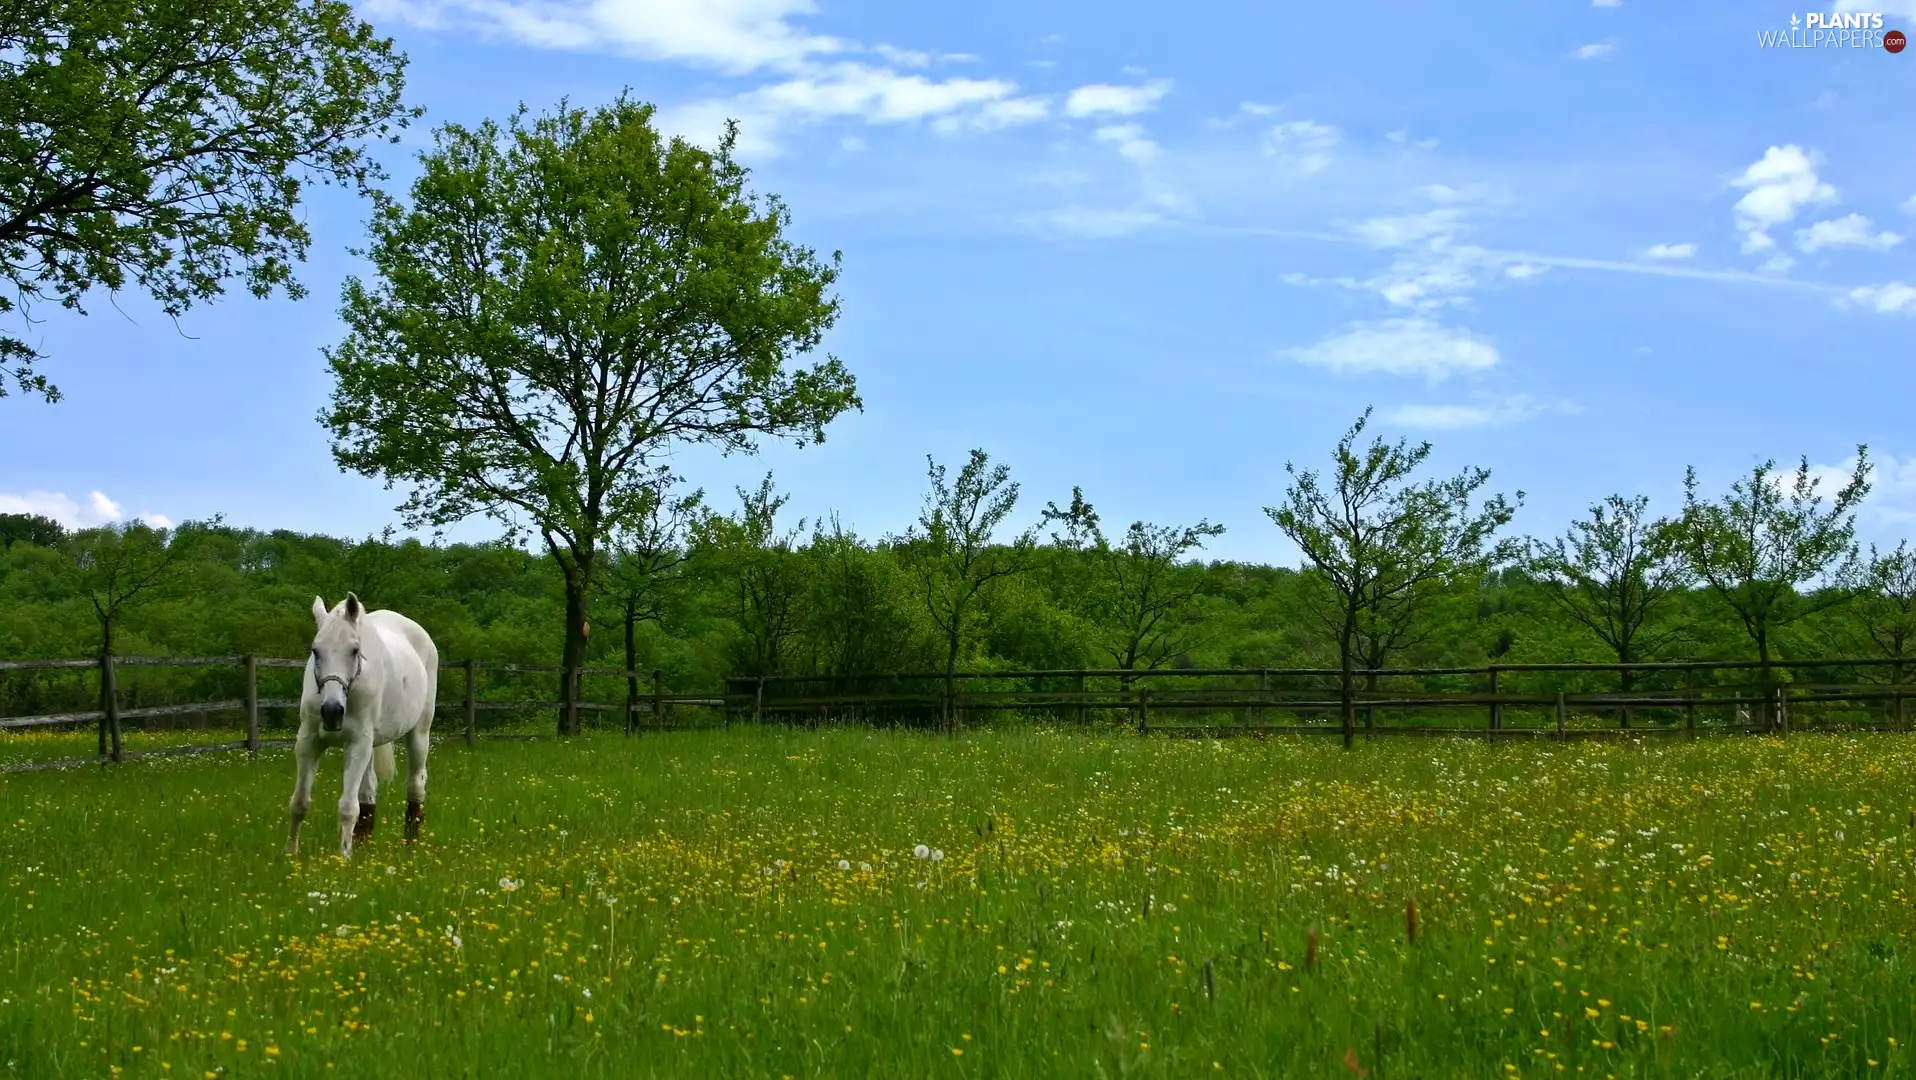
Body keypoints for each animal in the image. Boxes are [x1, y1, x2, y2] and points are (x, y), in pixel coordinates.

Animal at [286, 592, 440, 860]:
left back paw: (410, 845)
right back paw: (362, 845)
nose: (332, 711)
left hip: (418, 733)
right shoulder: (308, 741)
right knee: (368, 794)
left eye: (354, 650)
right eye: (316, 651)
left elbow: (348, 807)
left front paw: (343, 859)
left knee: (416, 785)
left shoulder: (357, 743)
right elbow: (300, 801)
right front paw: (290, 855)